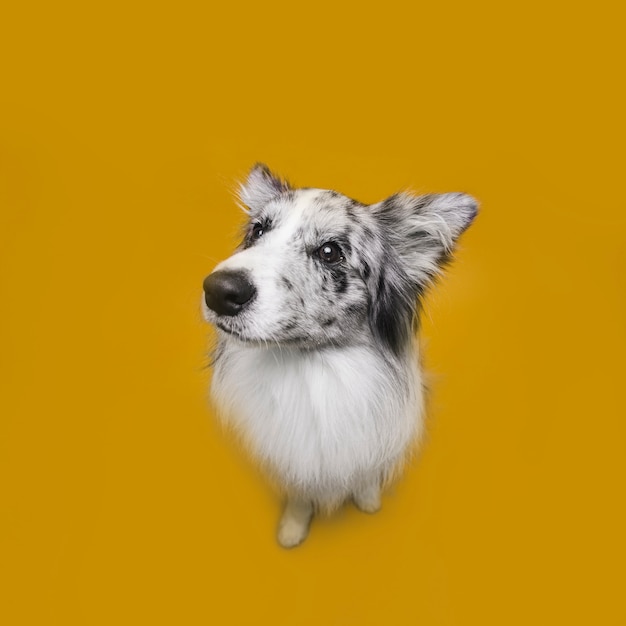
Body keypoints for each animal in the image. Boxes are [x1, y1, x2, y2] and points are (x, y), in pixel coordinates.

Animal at [202, 163, 476, 544]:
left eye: (330, 252)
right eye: (258, 230)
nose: (217, 291)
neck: (313, 370)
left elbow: (366, 473)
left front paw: (368, 501)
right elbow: (299, 495)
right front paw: (292, 530)